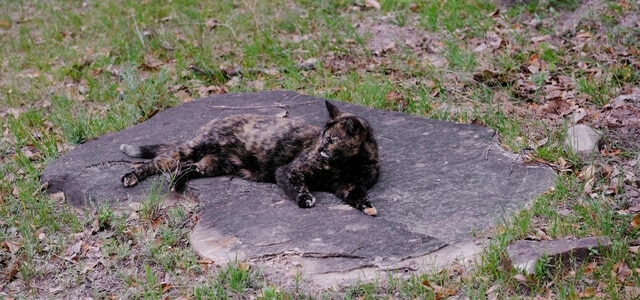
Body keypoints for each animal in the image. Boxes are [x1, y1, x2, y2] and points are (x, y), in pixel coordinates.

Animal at [120, 101, 380, 216]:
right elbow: (298, 185)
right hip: (195, 147)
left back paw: (177, 184)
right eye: (323, 137)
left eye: (332, 139)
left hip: (213, 164)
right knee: (160, 161)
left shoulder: (346, 184)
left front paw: (368, 207)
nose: (320, 149)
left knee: (185, 168)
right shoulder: (289, 171)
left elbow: (358, 194)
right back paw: (130, 177)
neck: (349, 163)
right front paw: (305, 198)